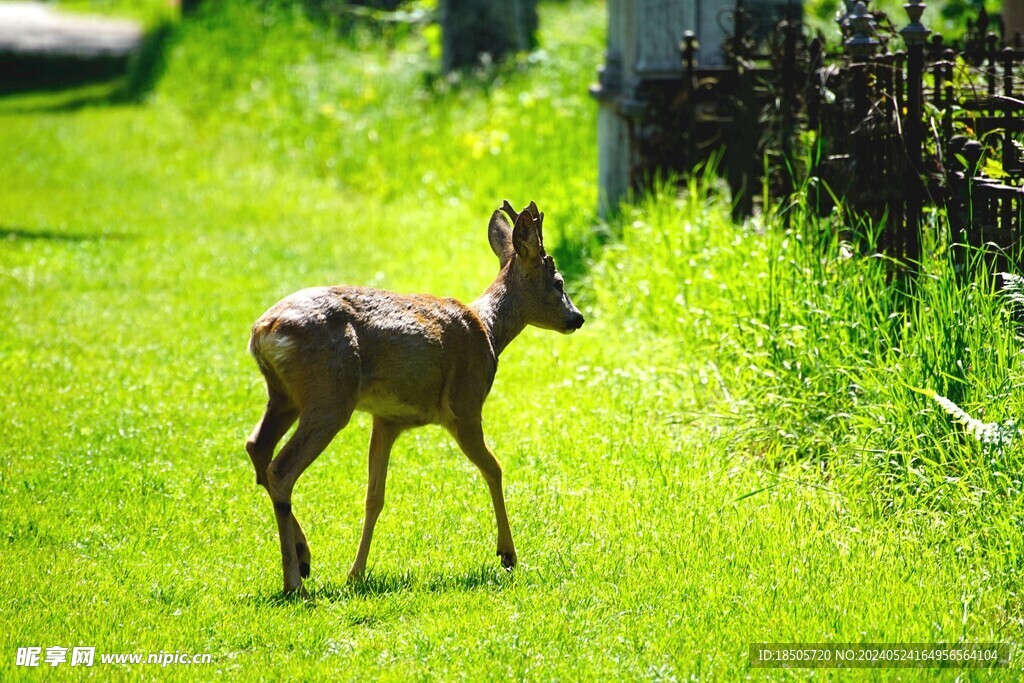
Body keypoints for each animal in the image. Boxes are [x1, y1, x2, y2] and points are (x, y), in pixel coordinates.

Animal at [244, 200, 585, 593]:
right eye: (558, 282)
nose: (577, 317)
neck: (489, 331)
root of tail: (263, 331)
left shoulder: (387, 419)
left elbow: (374, 496)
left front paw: (356, 573)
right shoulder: (464, 406)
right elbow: (494, 468)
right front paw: (508, 554)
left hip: (284, 395)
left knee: (257, 448)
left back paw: (303, 556)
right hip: (329, 396)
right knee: (281, 469)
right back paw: (294, 580)